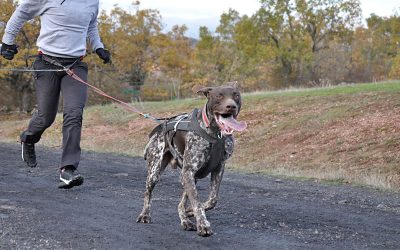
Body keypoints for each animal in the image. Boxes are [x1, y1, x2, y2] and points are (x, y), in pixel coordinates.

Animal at [138, 84, 247, 236]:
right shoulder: (188, 171)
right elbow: (196, 202)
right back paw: (145, 215)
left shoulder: (218, 168)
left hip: (189, 178)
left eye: (236, 95)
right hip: (156, 172)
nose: (231, 106)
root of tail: (160, 126)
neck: (215, 133)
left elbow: (212, 200)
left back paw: (186, 220)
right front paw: (203, 224)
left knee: (180, 204)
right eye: (219, 96)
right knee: (148, 193)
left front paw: (190, 212)